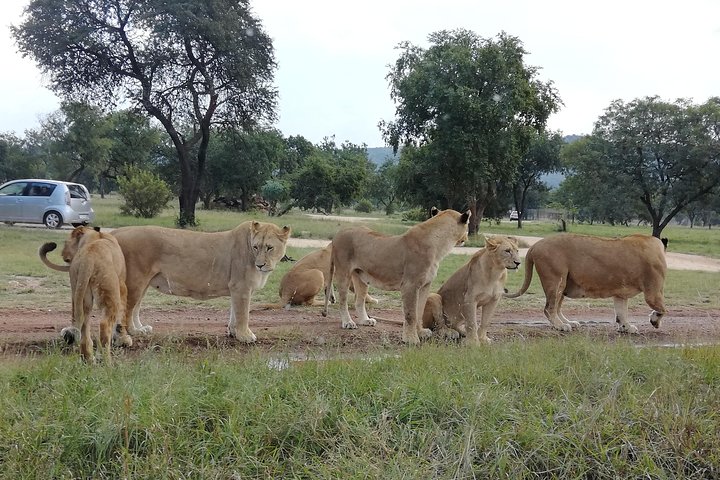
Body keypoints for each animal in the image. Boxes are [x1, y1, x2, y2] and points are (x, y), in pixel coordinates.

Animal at [39, 226, 130, 362]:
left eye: (65, 242)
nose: (62, 255)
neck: (95, 236)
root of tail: (88, 258)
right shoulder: (122, 286)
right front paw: (124, 338)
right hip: (110, 294)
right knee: (104, 325)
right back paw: (106, 360)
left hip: (82, 296)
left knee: (83, 328)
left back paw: (89, 359)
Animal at [323, 207, 471, 345]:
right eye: (468, 226)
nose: (467, 239)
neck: (440, 246)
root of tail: (339, 233)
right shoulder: (410, 285)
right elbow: (411, 314)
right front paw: (411, 339)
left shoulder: (425, 285)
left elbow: (419, 311)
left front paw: (420, 332)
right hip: (343, 272)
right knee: (343, 301)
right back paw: (348, 322)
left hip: (361, 277)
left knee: (359, 301)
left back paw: (365, 320)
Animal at [504, 233, 668, 334]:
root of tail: (535, 245)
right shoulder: (653, 292)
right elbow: (662, 309)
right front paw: (654, 321)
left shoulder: (620, 294)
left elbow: (621, 312)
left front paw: (626, 327)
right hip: (556, 280)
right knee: (549, 308)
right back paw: (561, 326)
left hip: (564, 283)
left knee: (556, 307)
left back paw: (569, 322)